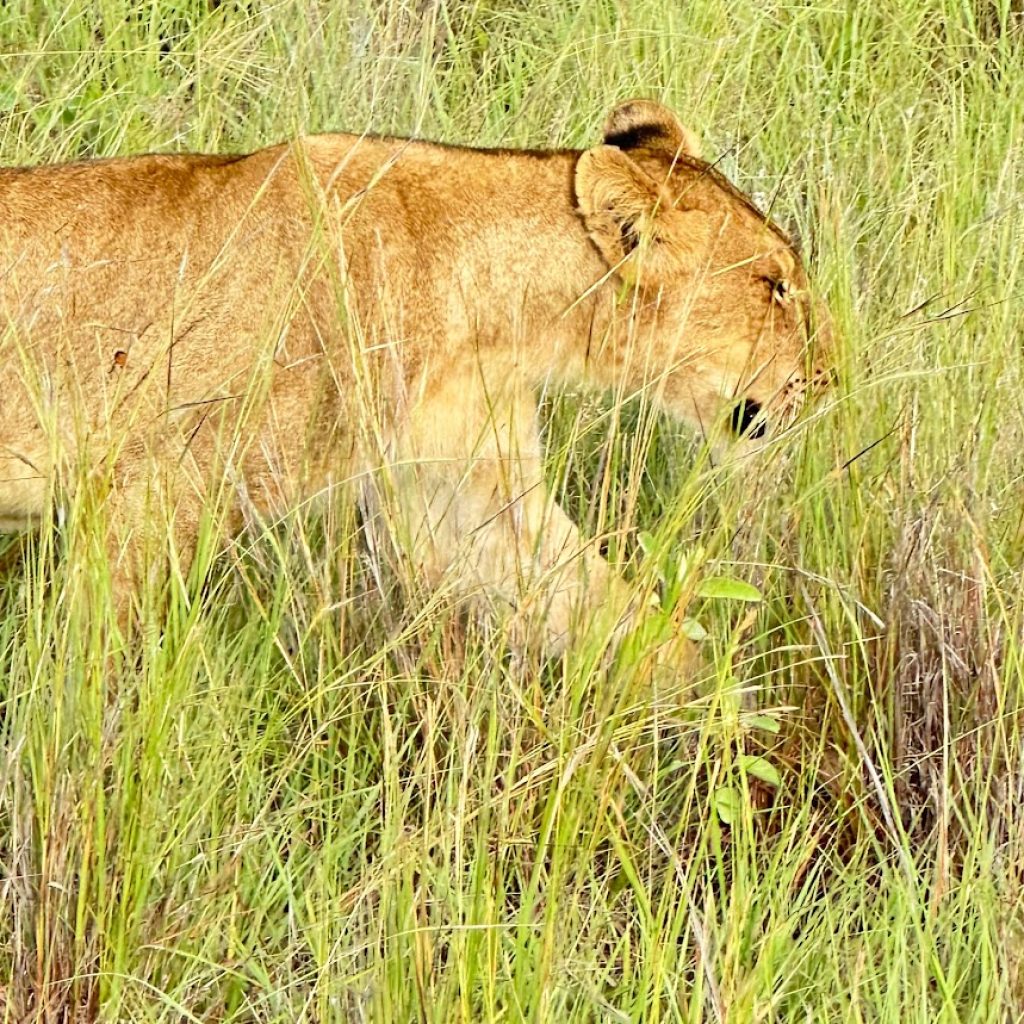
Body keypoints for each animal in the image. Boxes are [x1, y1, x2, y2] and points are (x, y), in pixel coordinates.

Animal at [0, 99, 831, 652]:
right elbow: (97, 669)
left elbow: (611, 609)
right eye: (774, 286)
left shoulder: (469, 492)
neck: (496, 314)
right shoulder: (145, 488)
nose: (830, 378)